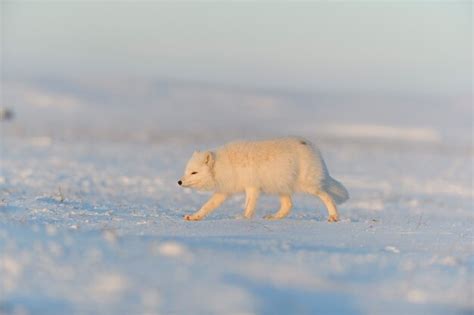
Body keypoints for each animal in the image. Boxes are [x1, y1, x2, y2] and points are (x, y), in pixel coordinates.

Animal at [178, 138, 348, 222]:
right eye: (186, 171)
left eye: (194, 172)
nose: (179, 182)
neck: (224, 165)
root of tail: (313, 148)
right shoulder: (224, 191)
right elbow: (207, 206)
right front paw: (194, 217)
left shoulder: (252, 187)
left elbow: (248, 206)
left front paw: (242, 219)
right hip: (281, 186)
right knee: (288, 206)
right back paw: (273, 217)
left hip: (308, 186)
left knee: (327, 196)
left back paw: (334, 217)